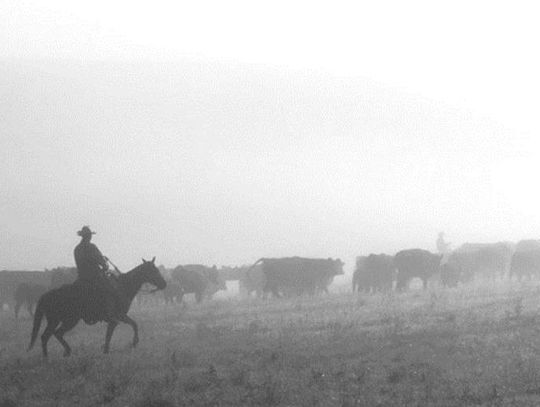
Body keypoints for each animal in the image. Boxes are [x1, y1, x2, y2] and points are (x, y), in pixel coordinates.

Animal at [27, 256, 166, 358]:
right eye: (154, 270)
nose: (164, 284)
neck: (122, 287)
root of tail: (47, 294)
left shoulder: (121, 316)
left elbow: (133, 324)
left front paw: (133, 342)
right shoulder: (115, 318)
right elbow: (110, 334)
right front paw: (111, 349)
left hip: (59, 321)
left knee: (48, 336)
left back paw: (52, 356)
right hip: (68, 320)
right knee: (53, 334)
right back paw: (59, 354)